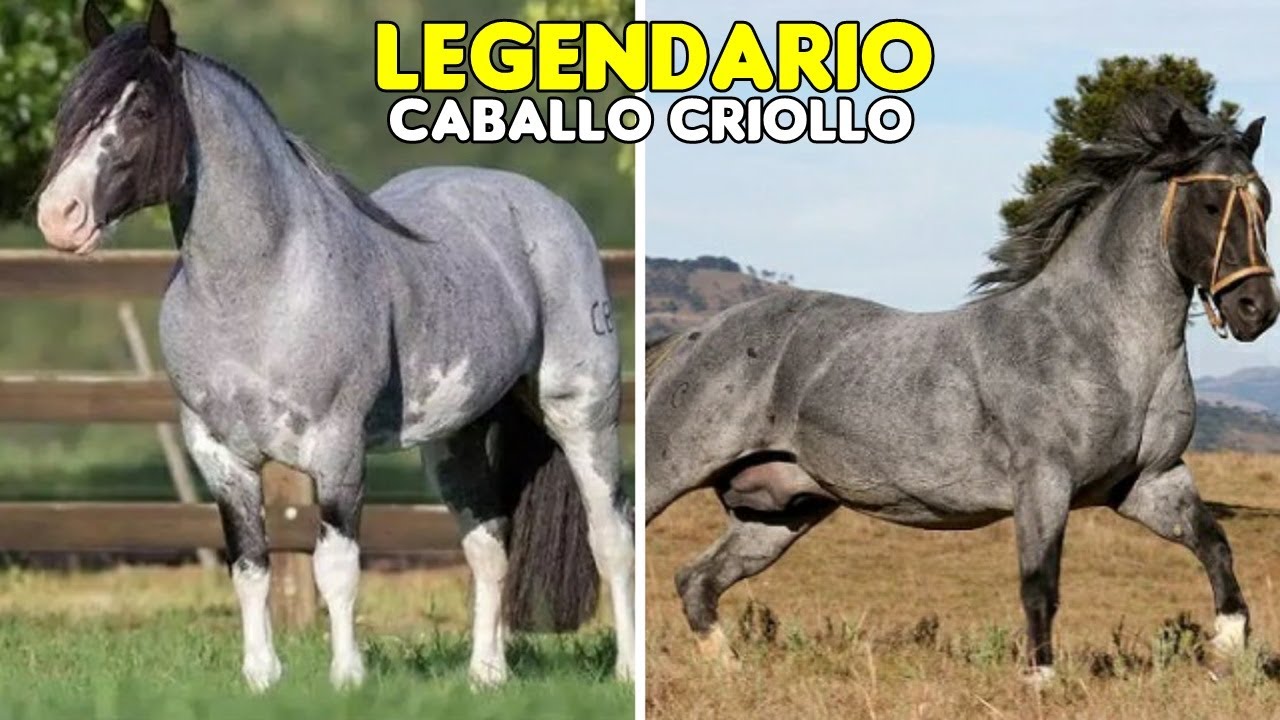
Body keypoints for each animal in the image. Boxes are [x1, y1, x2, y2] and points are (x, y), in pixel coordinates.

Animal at [35, 1, 633, 691]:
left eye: (142, 111)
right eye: (72, 107)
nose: (59, 215)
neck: (260, 288)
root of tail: (539, 205)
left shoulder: (337, 450)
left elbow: (337, 568)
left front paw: (347, 679)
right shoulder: (220, 456)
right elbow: (250, 567)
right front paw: (261, 678)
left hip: (581, 413)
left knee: (611, 537)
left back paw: (626, 671)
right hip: (454, 436)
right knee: (488, 544)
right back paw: (486, 674)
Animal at [645, 92, 1277, 684]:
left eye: (1264, 202)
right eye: (1211, 205)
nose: (1256, 309)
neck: (1104, 345)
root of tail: (698, 335)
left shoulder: (1150, 481)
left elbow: (1214, 545)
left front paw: (1227, 649)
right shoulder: (1043, 482)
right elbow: (1039, 582)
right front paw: (1041, 681)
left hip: (781, 510)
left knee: (697, 580)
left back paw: (730, 673)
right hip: (675, 470)